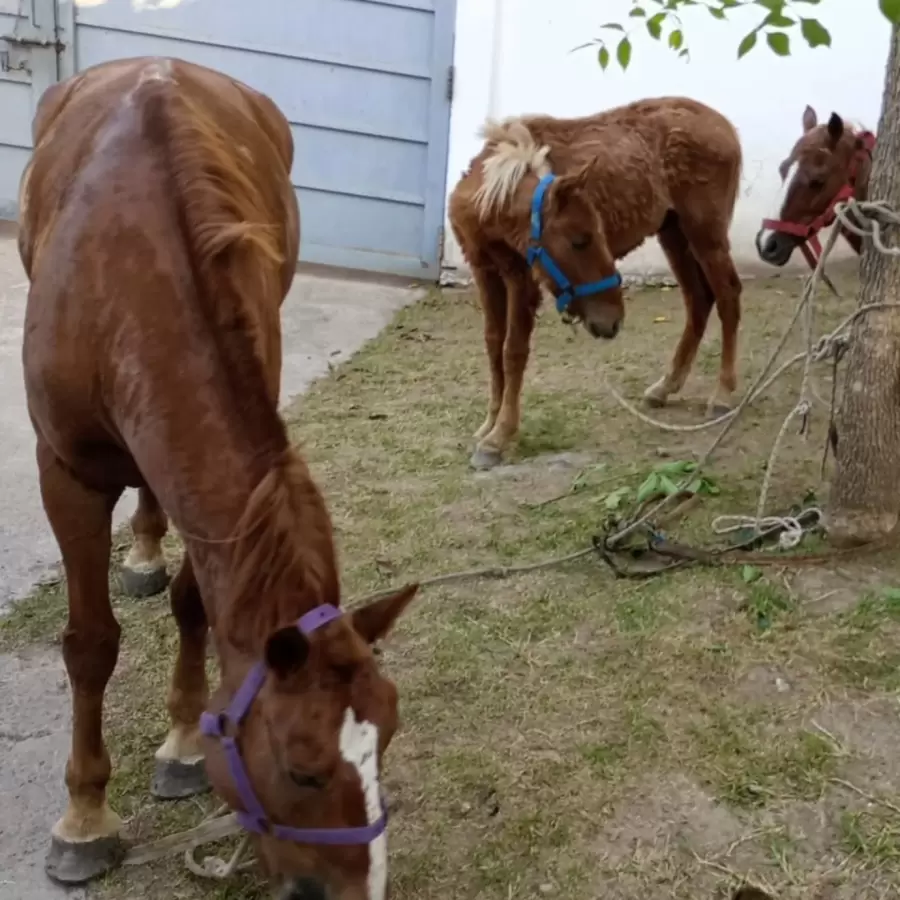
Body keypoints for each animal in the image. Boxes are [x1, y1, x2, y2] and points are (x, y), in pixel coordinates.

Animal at [19, 56, 418, 900]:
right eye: (302, 771)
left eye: (390, 733)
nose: (361, 894)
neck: (127, 272)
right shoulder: (64, 472)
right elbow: (89, 643)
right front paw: (85, 817)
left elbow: (195, 600)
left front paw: (181, 743)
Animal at [448, 97, 744, 470]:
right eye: (580, 240)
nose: (612, 321)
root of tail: (725, 125)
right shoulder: (485, 271)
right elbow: (493, 344)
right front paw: (489, 425)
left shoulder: (521, 278)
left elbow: (513, 351)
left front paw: (499, 437)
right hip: (674, 233)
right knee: (698, 300)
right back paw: (666, 386)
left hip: (705, 234)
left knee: (728, 296)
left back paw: (723, 394)